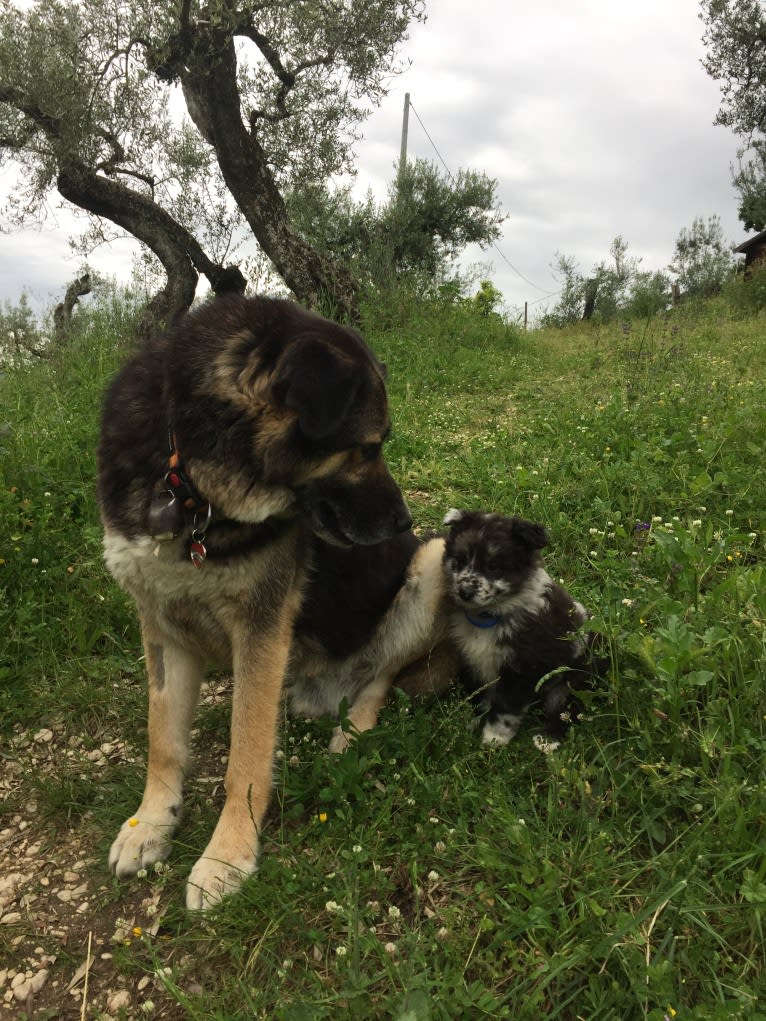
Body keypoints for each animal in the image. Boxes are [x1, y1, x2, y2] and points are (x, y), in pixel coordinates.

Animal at [99, 296, 453, 910]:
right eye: (368, 447)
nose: (402, 523)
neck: (188, 473)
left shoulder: (261, 629)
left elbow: (245, 755)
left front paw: (226, 855)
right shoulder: (161, 627)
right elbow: (162, 737)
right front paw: (151, 824)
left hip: (434, 560)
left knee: (380, 677)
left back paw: (351, 732)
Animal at [443, 510, 600, 751]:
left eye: (493, 566)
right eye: (459, 561)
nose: (464, 592)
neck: (491, 617)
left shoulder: (523, 668)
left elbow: (506, 708)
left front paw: (493, 739)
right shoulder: (474, 661)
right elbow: (479, 694)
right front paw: (470, 721)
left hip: (571, 683)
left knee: (567, 711)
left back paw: (548, 739)